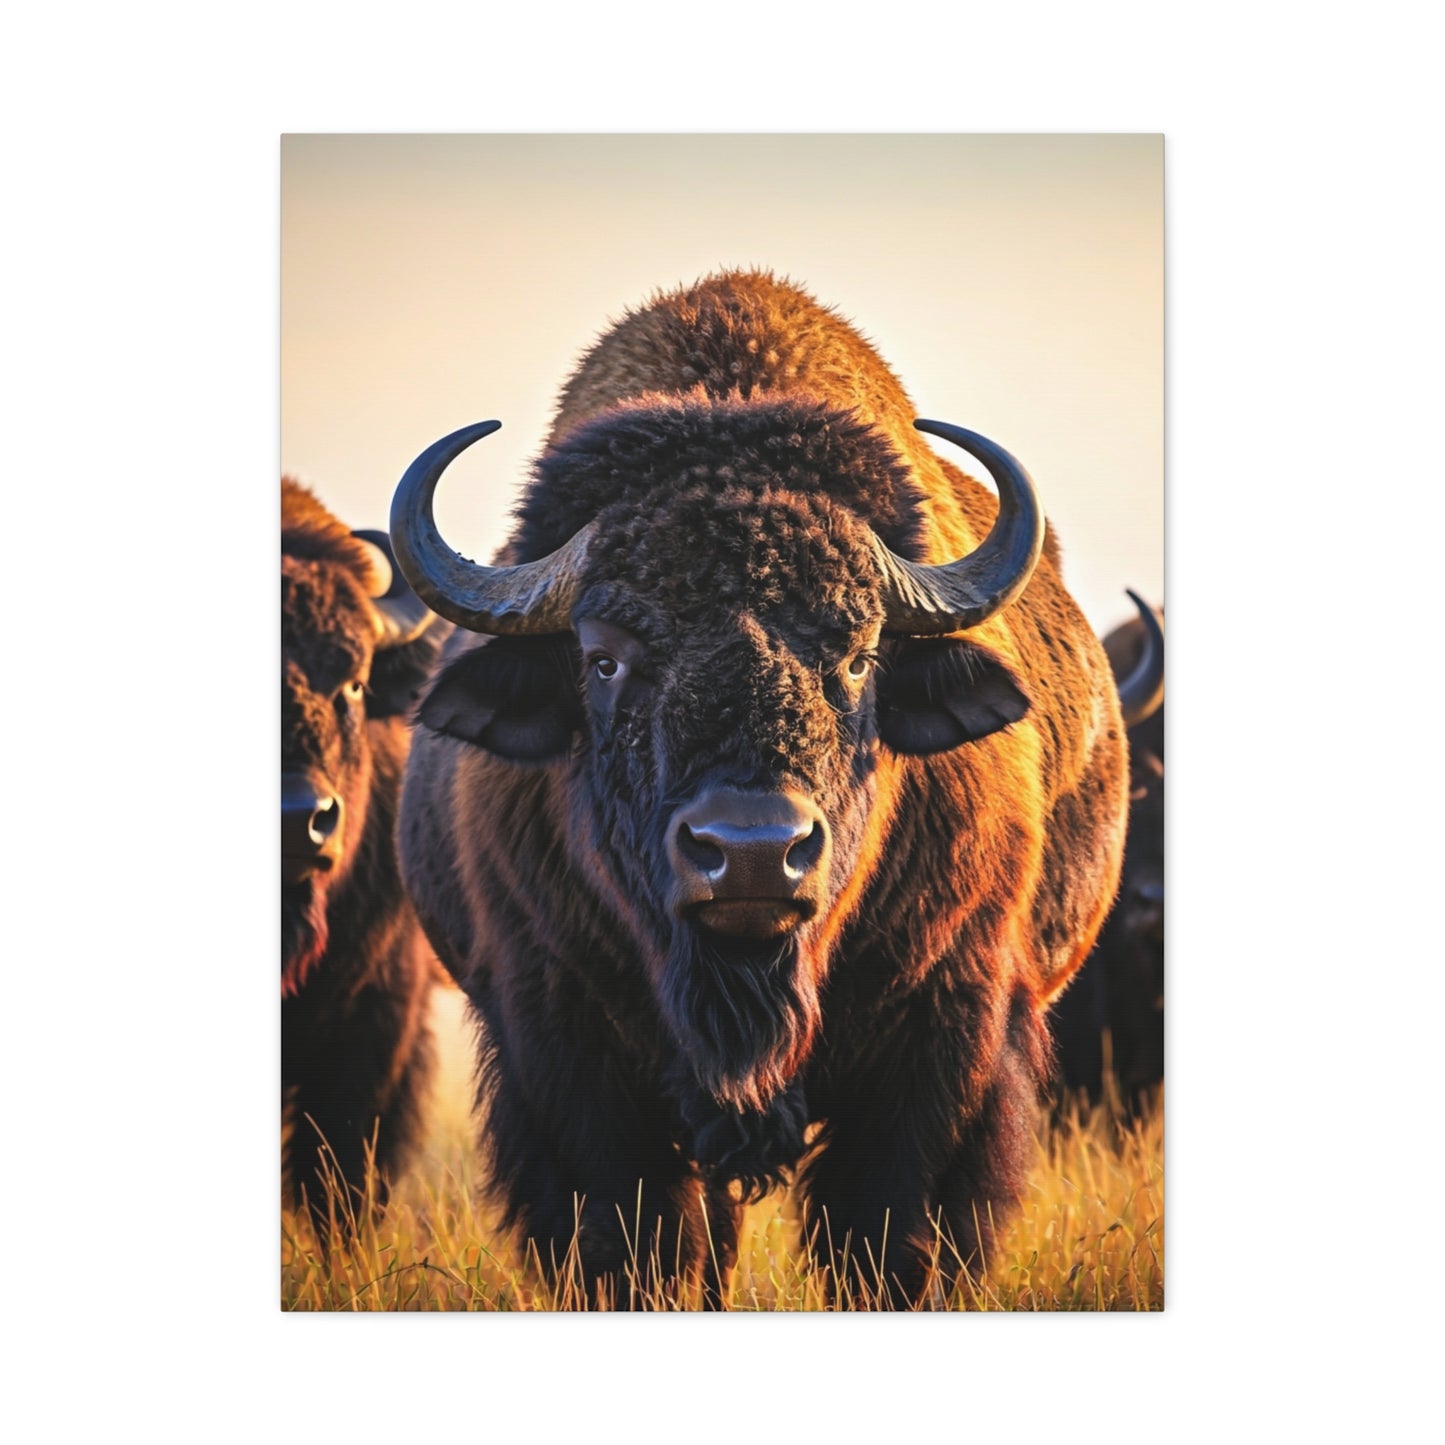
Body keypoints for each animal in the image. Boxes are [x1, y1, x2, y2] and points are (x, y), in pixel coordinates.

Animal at [390, 270, 1131, 1307]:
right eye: (603, 658)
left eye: (861, 653)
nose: (750, 854)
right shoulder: (558, 1032)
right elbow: (635, 1234)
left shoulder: (948, 1022)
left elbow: (889, 1232)